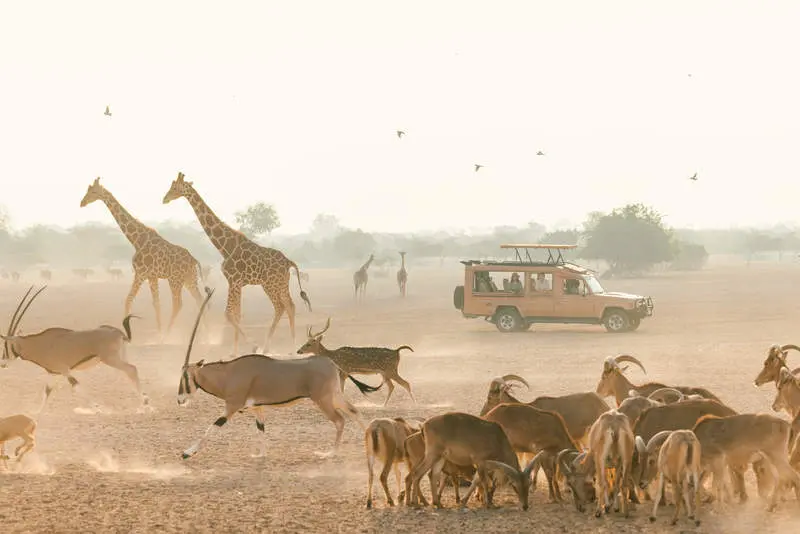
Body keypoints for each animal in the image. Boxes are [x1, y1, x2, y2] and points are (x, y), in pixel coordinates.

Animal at [0, 286, 148, 412]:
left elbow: (76, 386)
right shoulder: (53, 373)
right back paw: (143, 402)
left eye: (6, 345)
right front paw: (36, 414)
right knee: (129, 373)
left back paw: (144, 405)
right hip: (120, 357)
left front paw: (98, 408)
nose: (3, 363)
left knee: (132, 369)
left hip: (110, 359)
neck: (39, 344)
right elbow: (47, 392)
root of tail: (119, 333)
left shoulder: (64, 370)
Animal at [79, 178, 206, 338]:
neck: (136, 240)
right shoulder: (152, 276)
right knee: (200, 300)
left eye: (93, 191)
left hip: (175, 280)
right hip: (190, 279)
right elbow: (156, 303)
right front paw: (158, 331)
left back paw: (168, 334)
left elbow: (128, 299)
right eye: (88, 190)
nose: (82, 202)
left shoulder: (141, 273)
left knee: (178, 304)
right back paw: (204, 335)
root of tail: (194, 260)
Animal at [161, 173, 310, 356]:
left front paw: (251, 346)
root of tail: (289, 261)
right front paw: (235, 351)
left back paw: (273, 346)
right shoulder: (237, 283)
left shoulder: (234, 280)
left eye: (175, 187)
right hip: (279, 283)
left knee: (282, 306)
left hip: (271, 284)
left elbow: (228, 314)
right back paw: (286, 347)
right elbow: (236, 314)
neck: (224, 247)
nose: (165, 199)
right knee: (289, 306)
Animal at [179, 288, 384, 460]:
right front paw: (260, 454)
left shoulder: (232, 407)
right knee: (354, 412)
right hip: (334, 395)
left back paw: (330, 453)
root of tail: (331, 363)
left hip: (323, 399)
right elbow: (261, 429)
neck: (229, 373)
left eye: (185, 376)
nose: (180, 400)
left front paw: (187, 453)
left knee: (340, 420)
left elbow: (212, 427)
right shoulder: (256, 407)